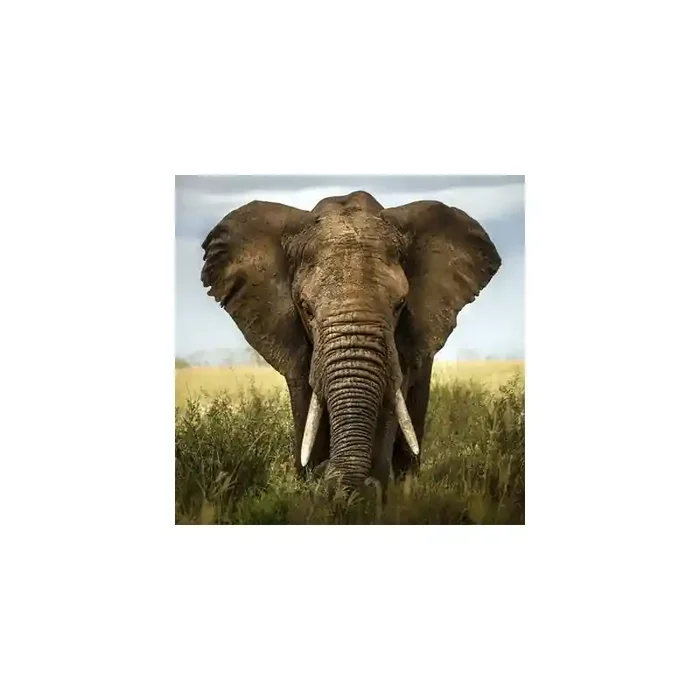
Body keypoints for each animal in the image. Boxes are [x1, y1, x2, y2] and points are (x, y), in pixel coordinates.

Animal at [200, 190, 501, 495]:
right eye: (306, 308)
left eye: (400, 305)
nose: (327, 476)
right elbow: (307, 405)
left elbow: (390, 402)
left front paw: (366, 493)